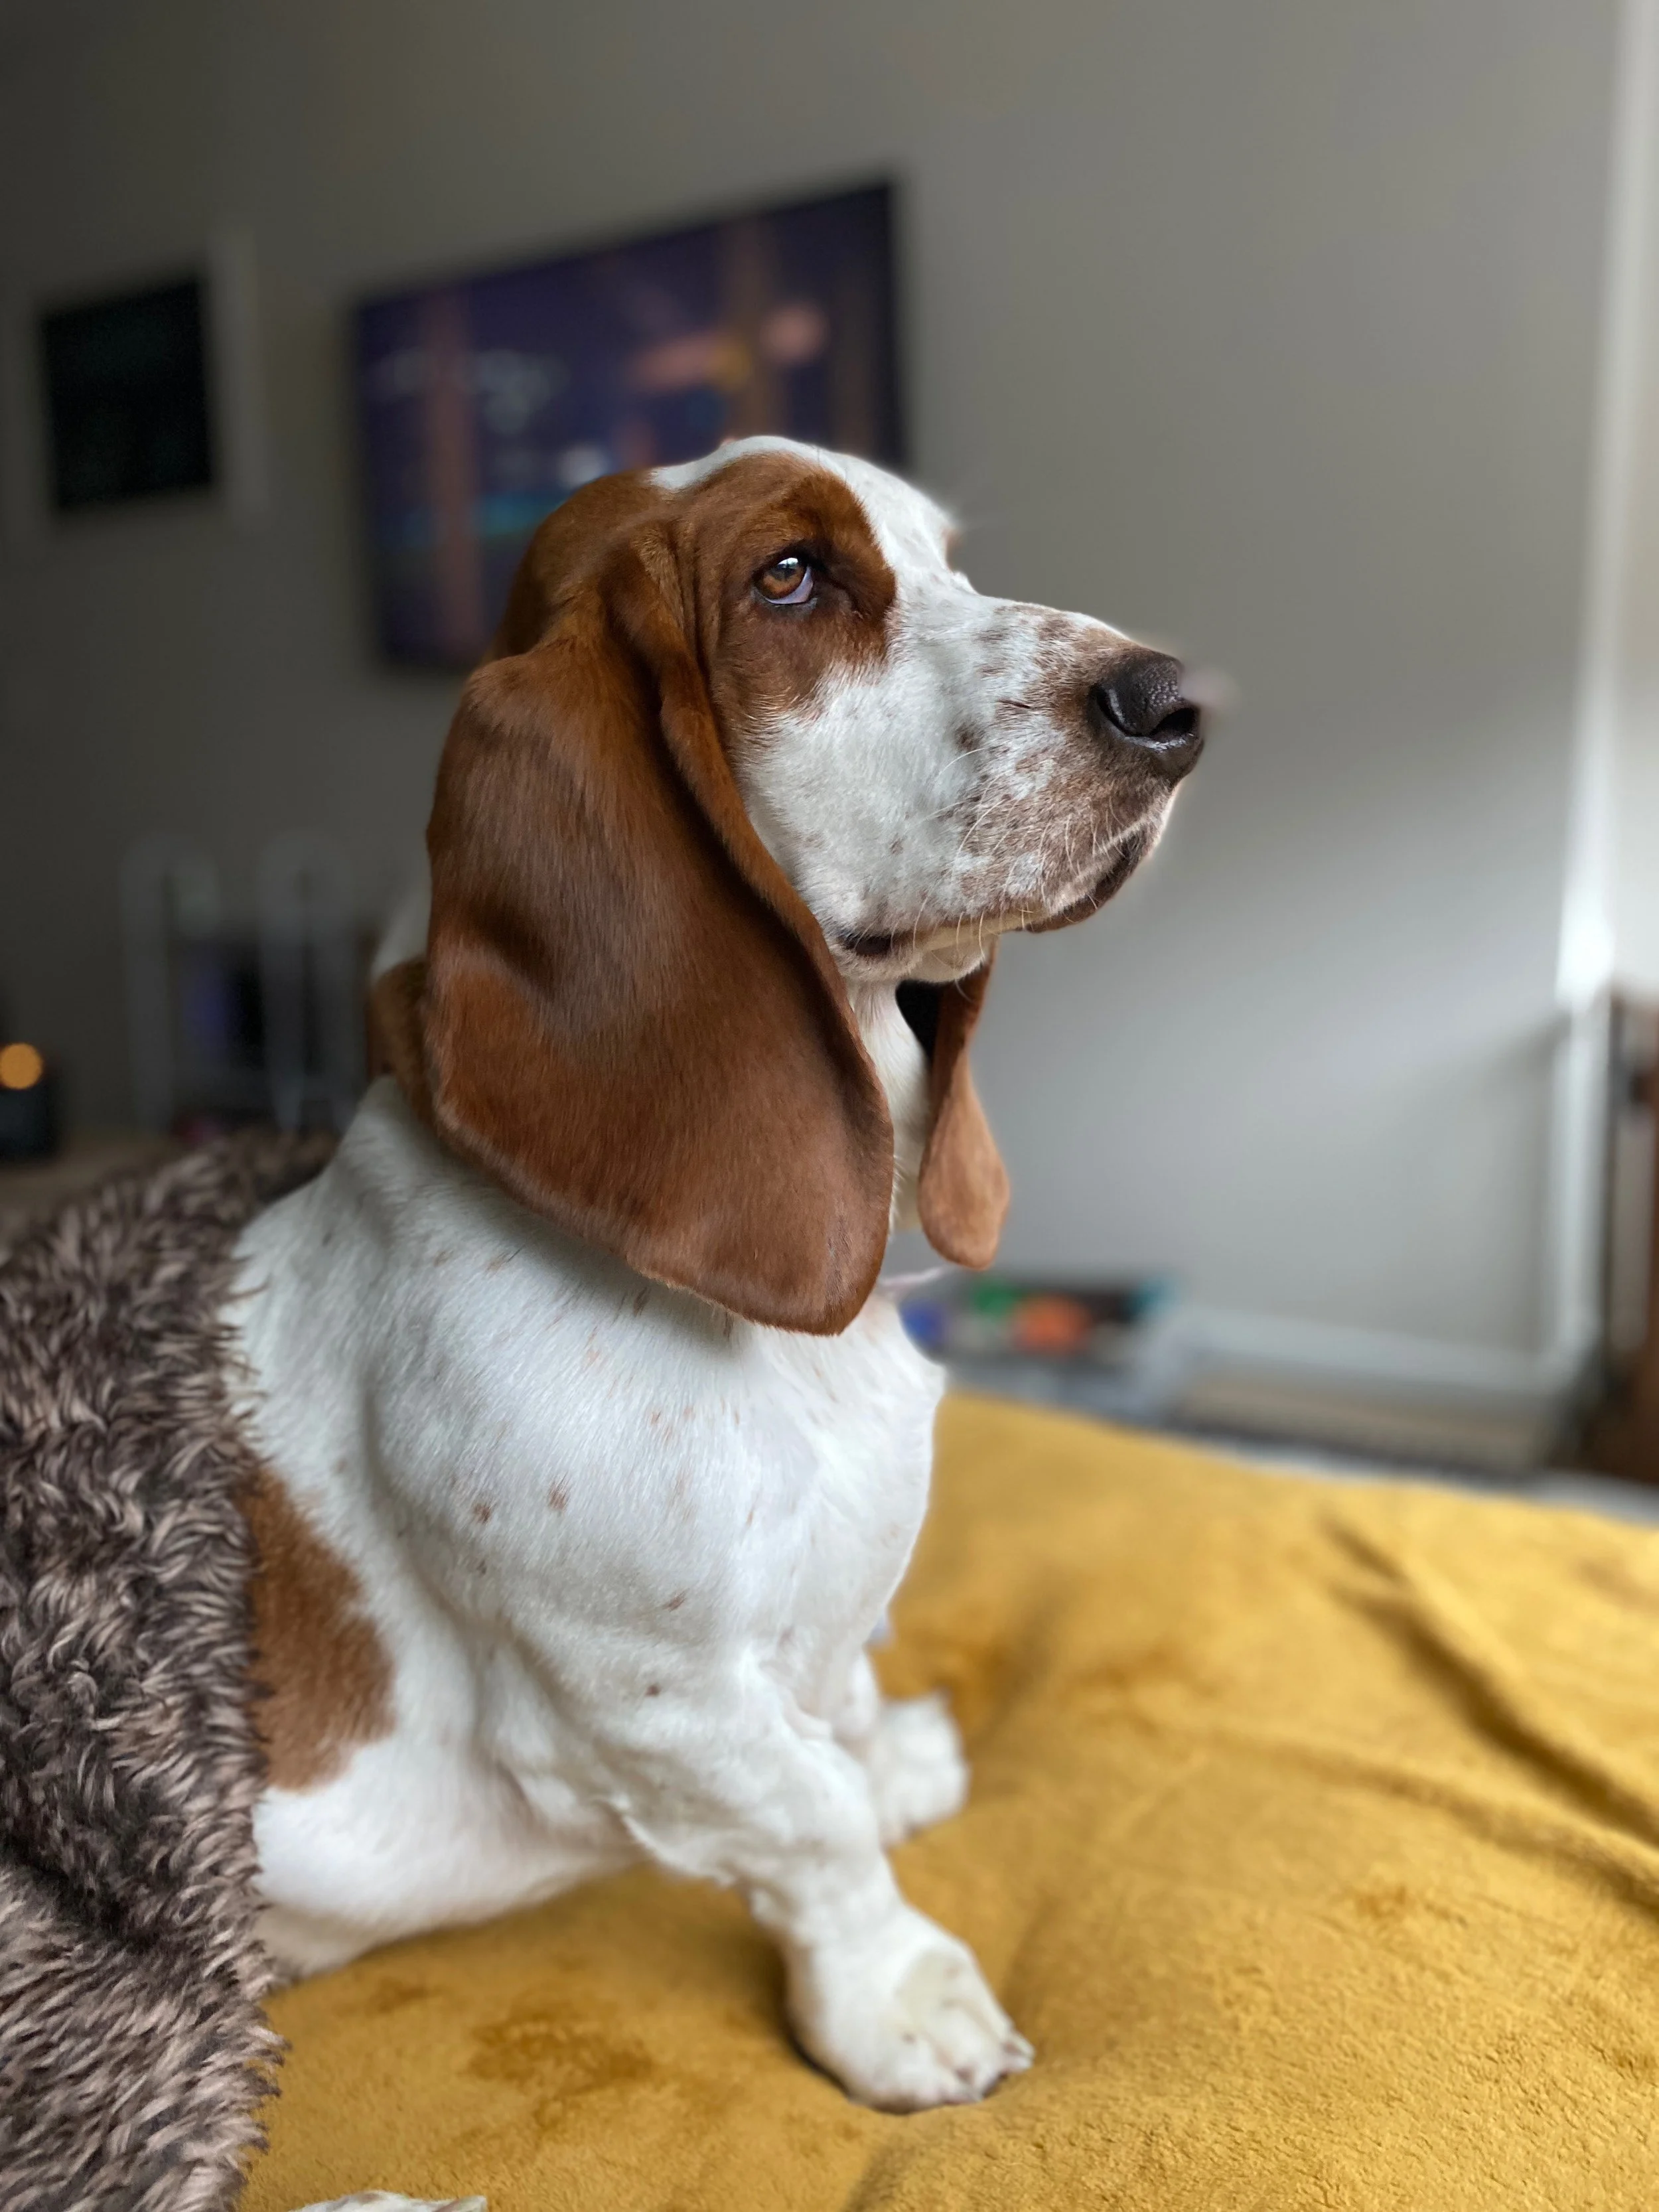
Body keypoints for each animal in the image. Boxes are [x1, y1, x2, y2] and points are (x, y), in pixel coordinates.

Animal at [229, 435, 1204, 2114]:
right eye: (789, 578)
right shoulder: (642, 1703)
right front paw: (896, 1996)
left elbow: (844, 1706)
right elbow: (811, 1824)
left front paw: (895, 1762)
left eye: (947, 562)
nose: (1176, 701)